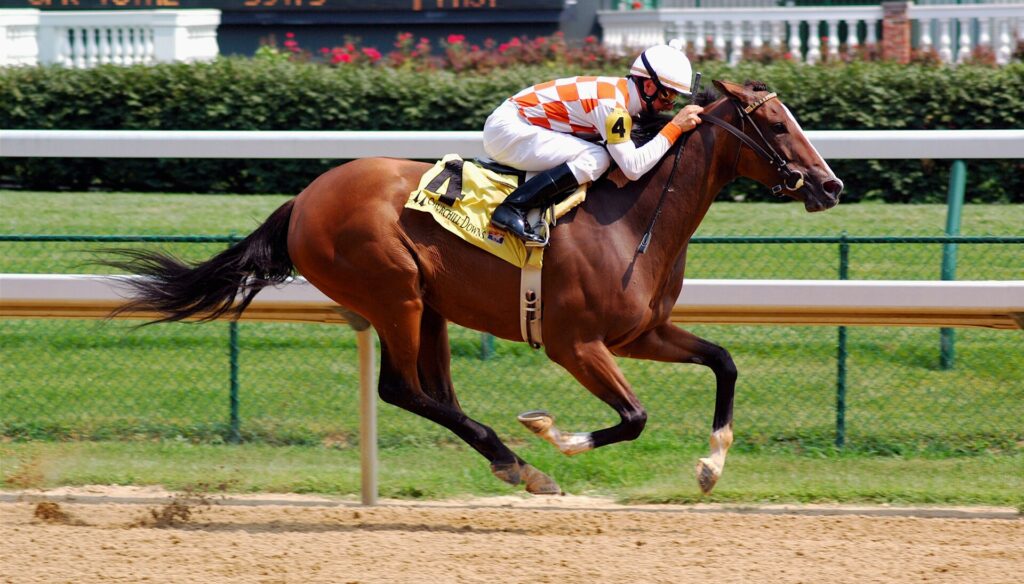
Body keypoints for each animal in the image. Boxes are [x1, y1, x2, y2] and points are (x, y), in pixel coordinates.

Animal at [109, 80, 843, 496]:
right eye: (777, 124)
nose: (831, 184)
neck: (634, 216)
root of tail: (304, 198)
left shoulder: (640, 332)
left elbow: (724, 361)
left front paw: (711, 465)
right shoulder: (576, 344)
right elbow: (634, 417)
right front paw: (553, 433)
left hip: (429, 306)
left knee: (435, 393)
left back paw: (511, 463)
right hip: (394, 293)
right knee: (402, 389)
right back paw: (523, 462)